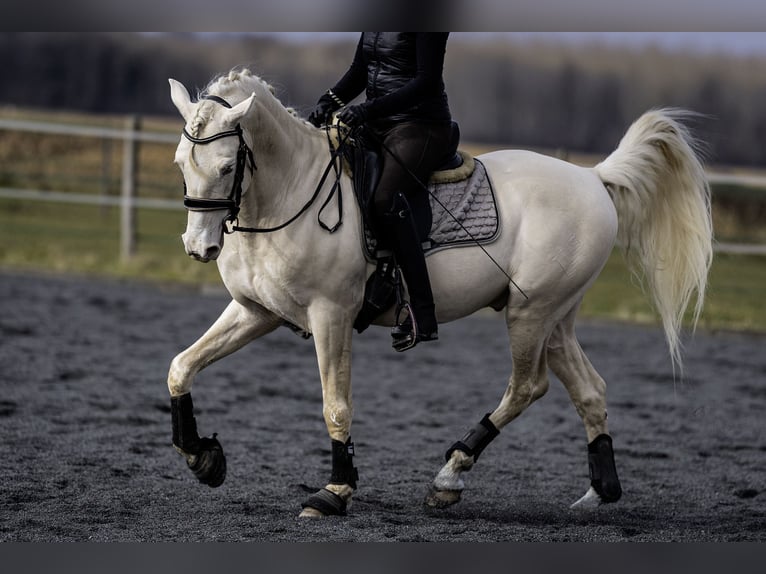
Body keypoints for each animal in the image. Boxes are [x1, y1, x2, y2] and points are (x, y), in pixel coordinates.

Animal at [168, 70, 712, 520]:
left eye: (226, 166)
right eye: (180, 163)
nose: (198, 247)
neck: (289, 194)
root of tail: (591, 176)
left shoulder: (331, 316)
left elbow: (335, 405)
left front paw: (334, 493)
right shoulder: (256, 311)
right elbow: (181, 366)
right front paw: (201, 456)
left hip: (531, 313)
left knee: (527, 386)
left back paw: (449, 475)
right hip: (556, 317)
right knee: (590, 389)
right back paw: (599, 491)